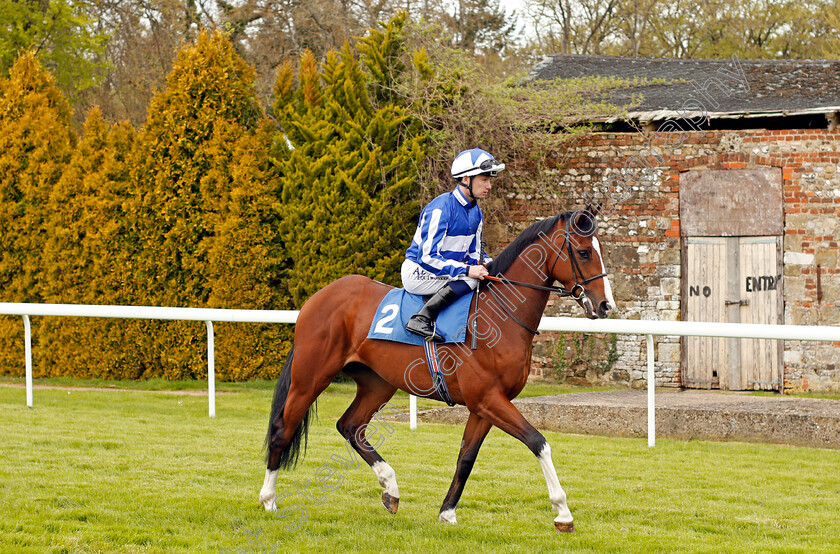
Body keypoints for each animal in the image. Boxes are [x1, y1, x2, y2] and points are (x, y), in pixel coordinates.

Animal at [260, 203, 612, 532]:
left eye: (601, 250)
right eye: (583, 252)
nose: (605, 305)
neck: (500, 316)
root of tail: (319, 297)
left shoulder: (483, 405)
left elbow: (466, 457)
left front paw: (447, 513)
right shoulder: (488, 398)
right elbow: (538, 442)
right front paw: (563, 512)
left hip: (378, 383)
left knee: (351, 426)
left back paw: (391, 487)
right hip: (310, 376)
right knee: (282, 430)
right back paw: (268, 500)